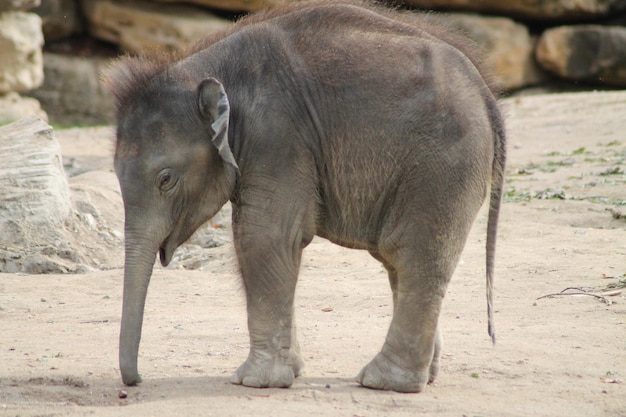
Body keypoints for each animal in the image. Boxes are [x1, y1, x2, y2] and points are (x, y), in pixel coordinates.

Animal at [107, 0, 504, 392]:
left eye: (165, 179)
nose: (136, 381)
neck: (205, 68)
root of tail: (487, 92)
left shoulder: (278, 136)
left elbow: (264, 237)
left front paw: (255, 381)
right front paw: (290, 371)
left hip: (441, 166)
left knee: (415, 255)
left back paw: (383, 382)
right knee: (397, 261)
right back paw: (423, 376)